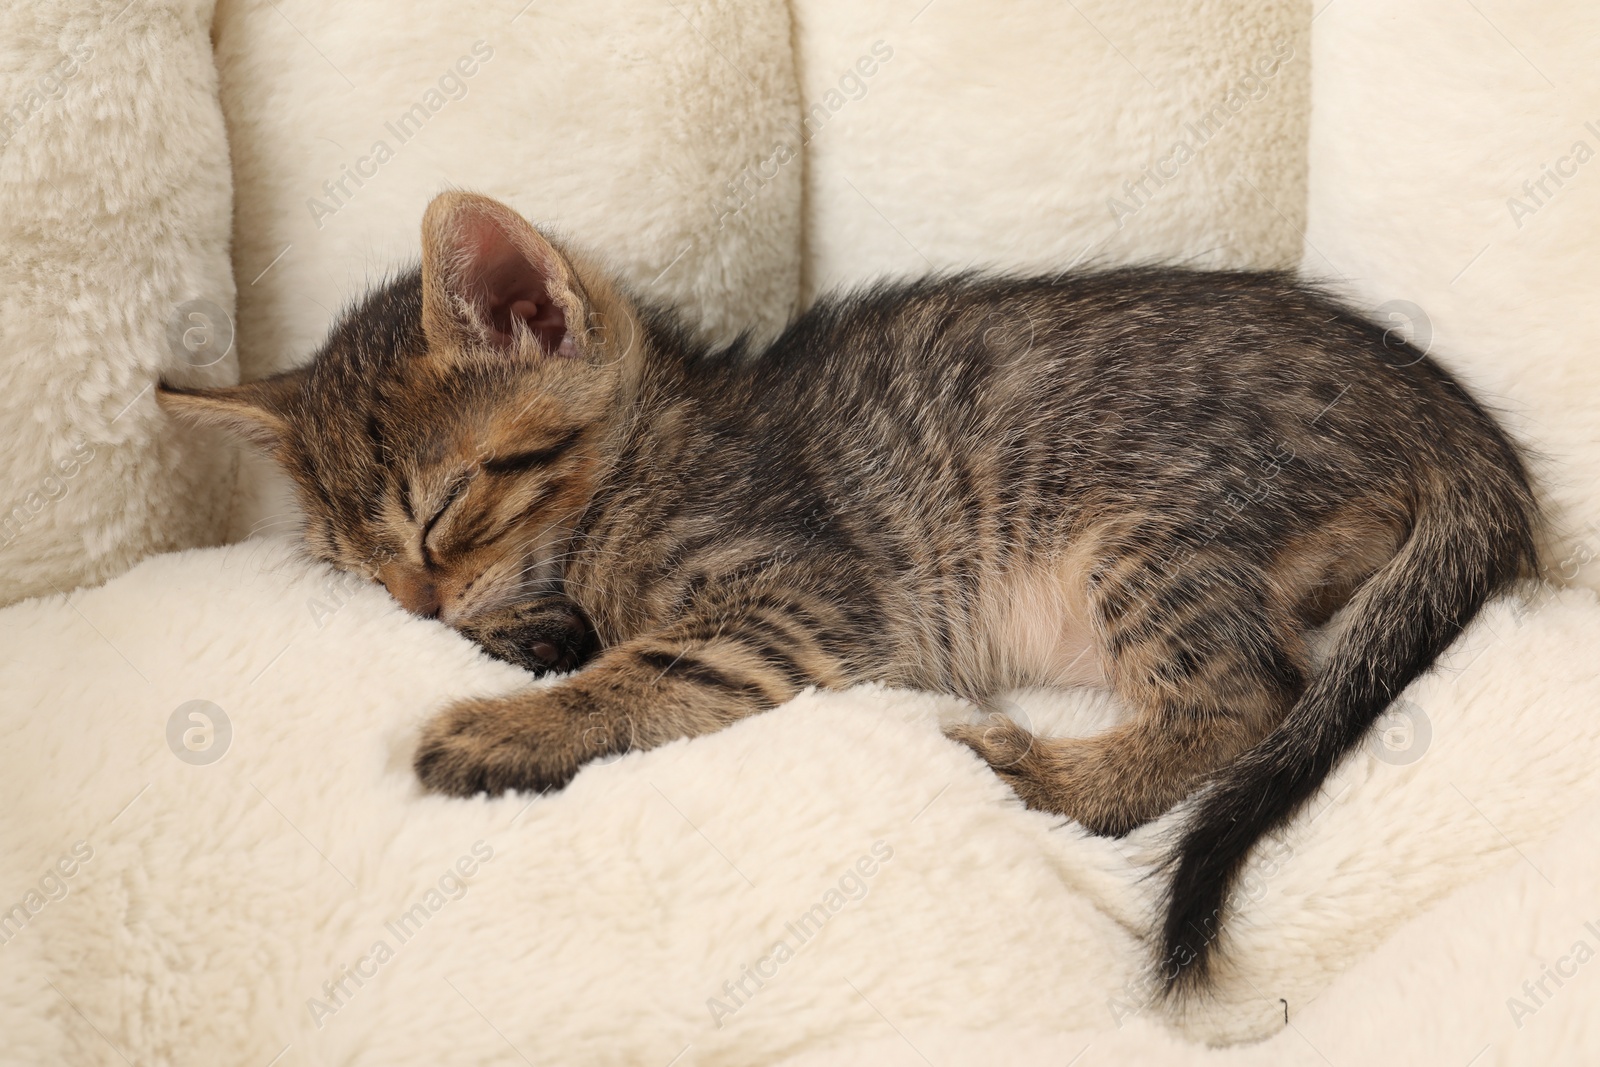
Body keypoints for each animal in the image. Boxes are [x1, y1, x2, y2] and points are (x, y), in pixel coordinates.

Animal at [159, 191, 1536, 991]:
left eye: (441, 509)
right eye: (354, 566)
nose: (417, 608)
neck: (649, 450)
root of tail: (1445, 411)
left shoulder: (802, 597)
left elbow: (647, 668)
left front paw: (499, 729)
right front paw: (522, 646)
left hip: (1139, 533)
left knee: (1252, 697)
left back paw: (1044, 775)